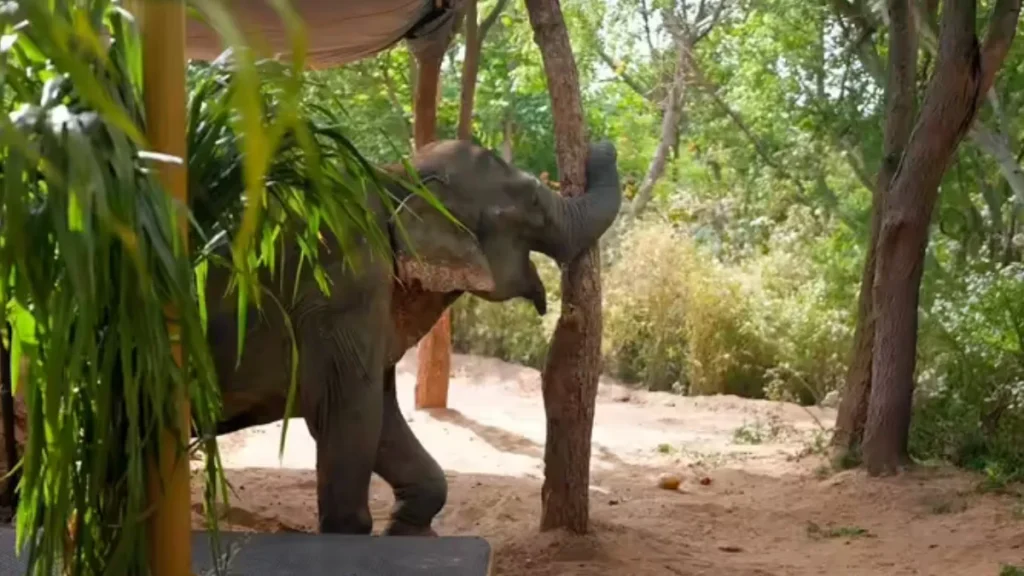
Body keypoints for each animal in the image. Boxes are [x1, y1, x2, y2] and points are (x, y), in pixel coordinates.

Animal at [200, 138, 622, 536]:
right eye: (533, 199)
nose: (601, 145)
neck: (397, 175)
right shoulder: (341, 289)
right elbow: (343, 408)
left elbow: (381, 410)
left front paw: (411, 532)